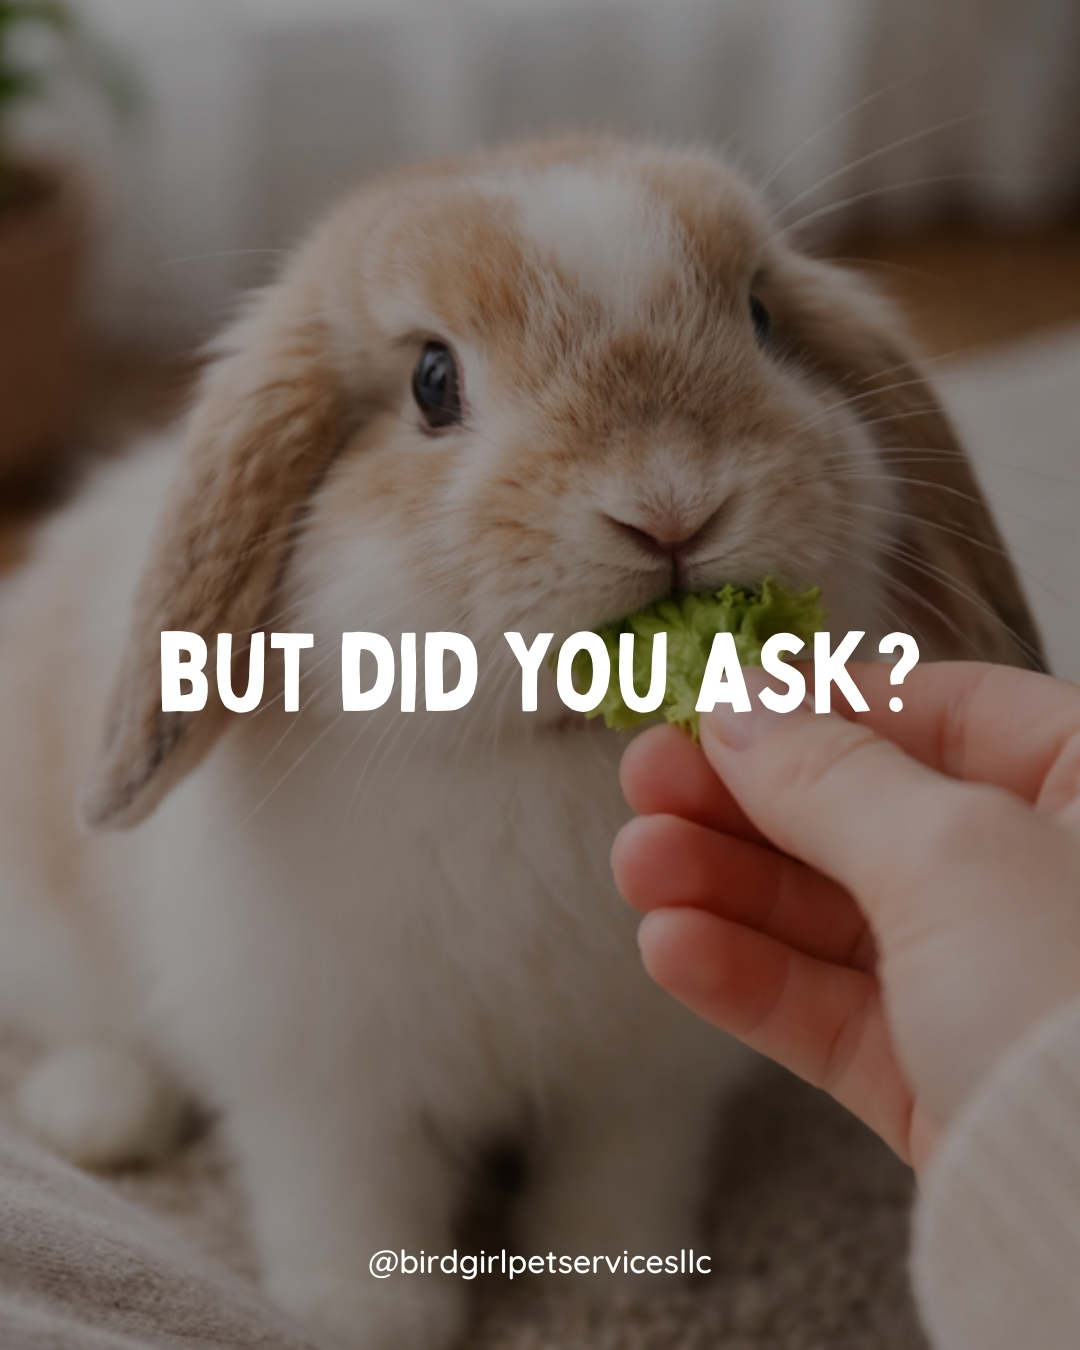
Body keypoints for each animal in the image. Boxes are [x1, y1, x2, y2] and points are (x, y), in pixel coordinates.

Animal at [0, 137, 1043, 1350]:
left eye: (762, 318)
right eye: (431, 382)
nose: (670, 506)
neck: (551, 752)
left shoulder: (645, 1074)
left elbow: (619, 1166)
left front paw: (615, 1282)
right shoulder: (320, 1075)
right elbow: (349, 1190)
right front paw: (368, 1315)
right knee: (81, 1020)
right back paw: (92, 1114)